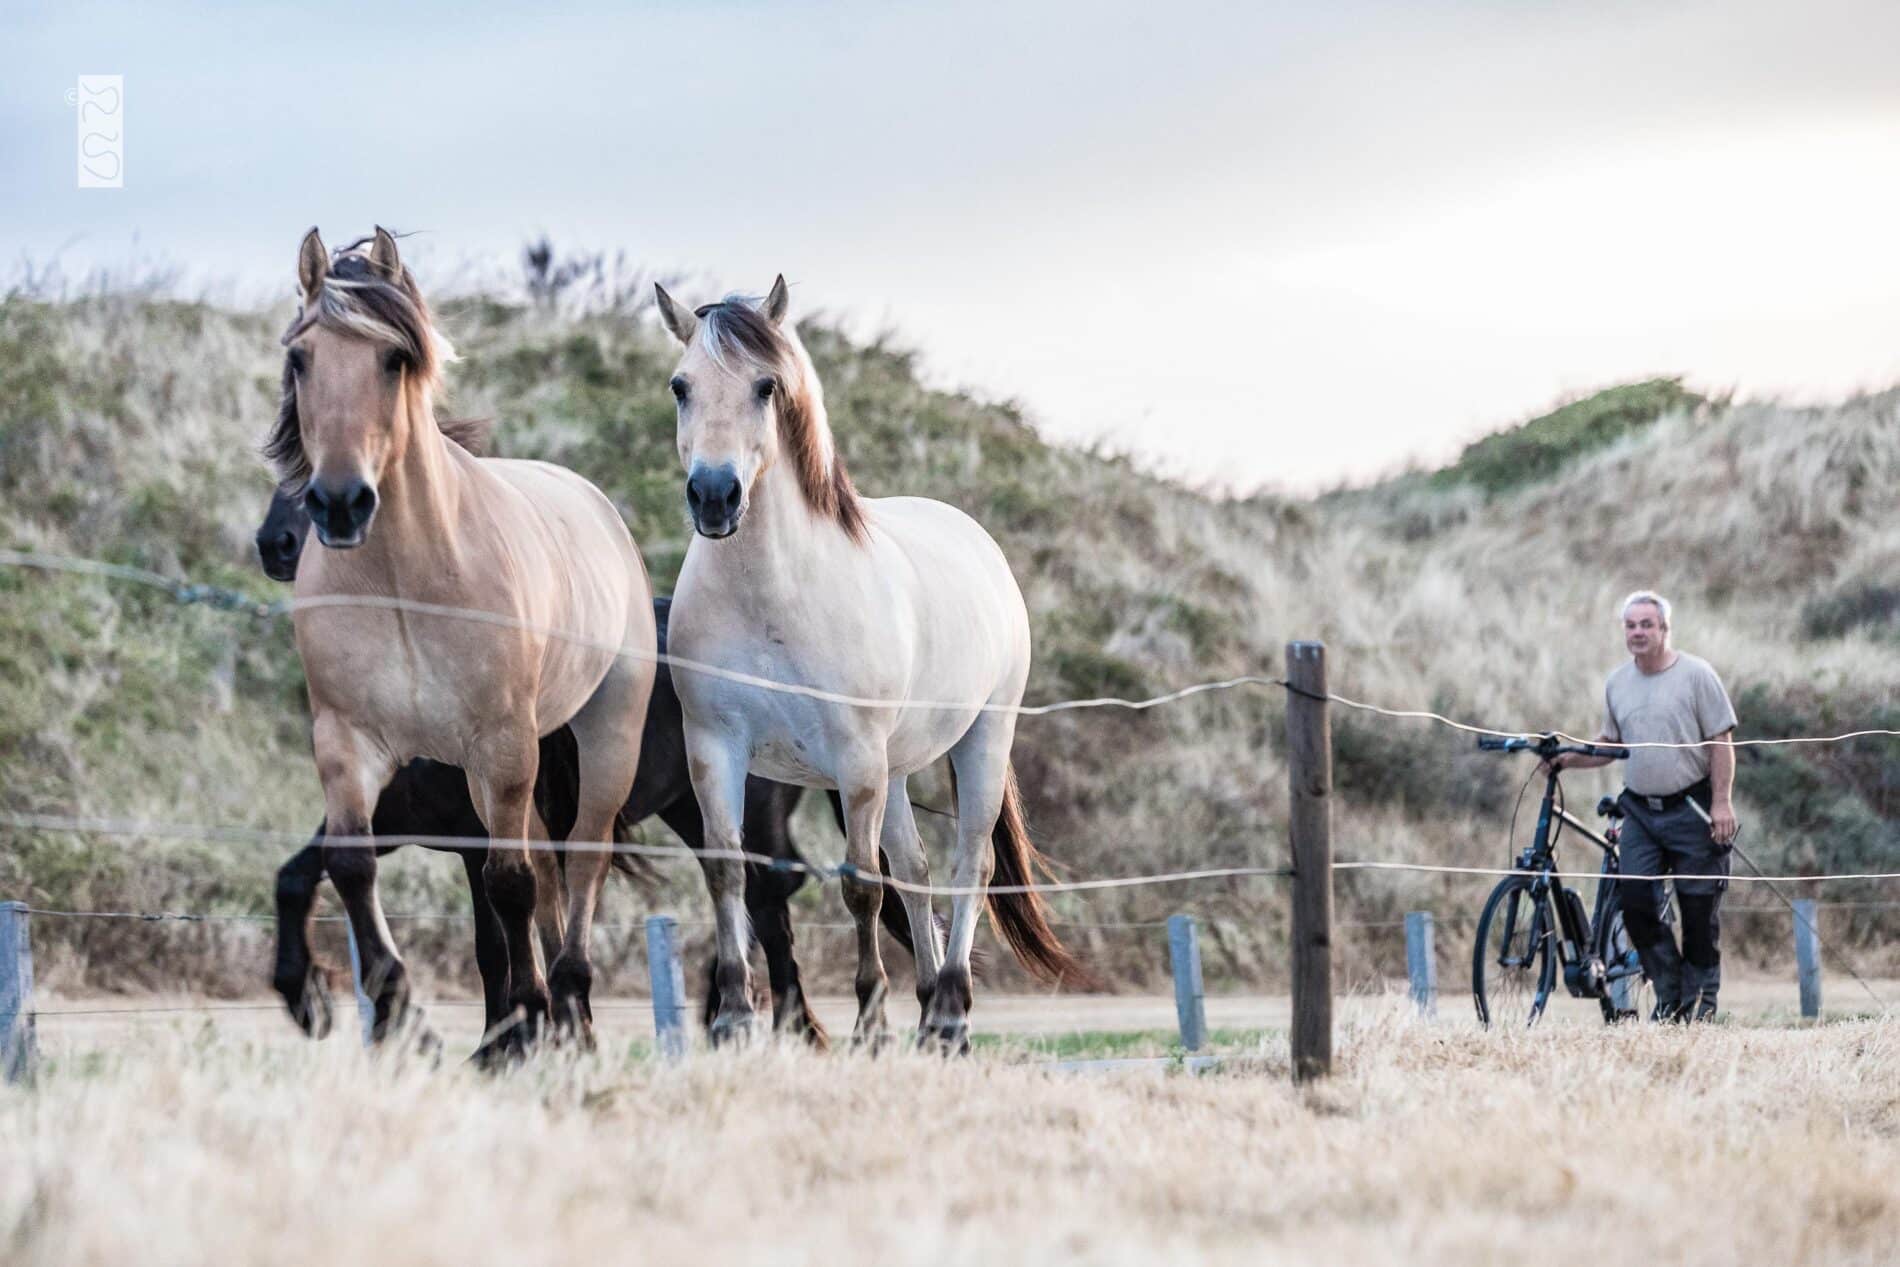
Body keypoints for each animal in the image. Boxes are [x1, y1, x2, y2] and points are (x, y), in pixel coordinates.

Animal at [264, 225, 657, 1048]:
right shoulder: (349, 745)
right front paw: (397, 1008)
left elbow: (508, 886)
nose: (339, 504)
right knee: (547, 873)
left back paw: (569, 1002)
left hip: (597, 742)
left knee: (580, 863)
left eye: (393, 358)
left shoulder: (499, 746)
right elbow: (349, 868)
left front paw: (522, 1022)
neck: (404, 584)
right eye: (301, 358)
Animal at [653, 279, 1086, 1048]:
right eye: (681, 385)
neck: (776, 596)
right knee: (916, 868)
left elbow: (860, 884)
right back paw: (930, 1008)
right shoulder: (714, 748)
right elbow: (728, 872)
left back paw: (950, 1013)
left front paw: (871, 1020)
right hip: (899, 767)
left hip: (980, 738)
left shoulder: (854, 758)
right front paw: (734, 1018)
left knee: (969, 864)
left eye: (766, 385)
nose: (714, 496)